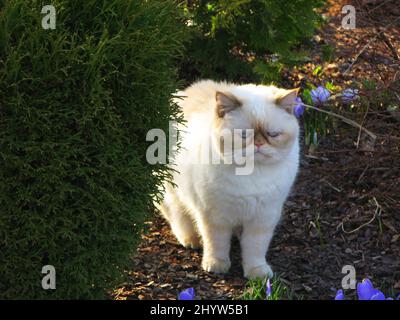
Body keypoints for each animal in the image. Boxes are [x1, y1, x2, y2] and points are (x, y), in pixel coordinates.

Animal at [159, 80, 300, 280]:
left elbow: (255, 250)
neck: (252, 174)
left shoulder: (263, 218)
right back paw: (191, 240)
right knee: (178, 217)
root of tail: (181, 93)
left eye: (273, 135)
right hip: (173, 194)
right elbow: (216, 244)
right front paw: (216, 266)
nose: (259, 144)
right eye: (244, 135)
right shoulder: (214, 216)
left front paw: (257, 273)